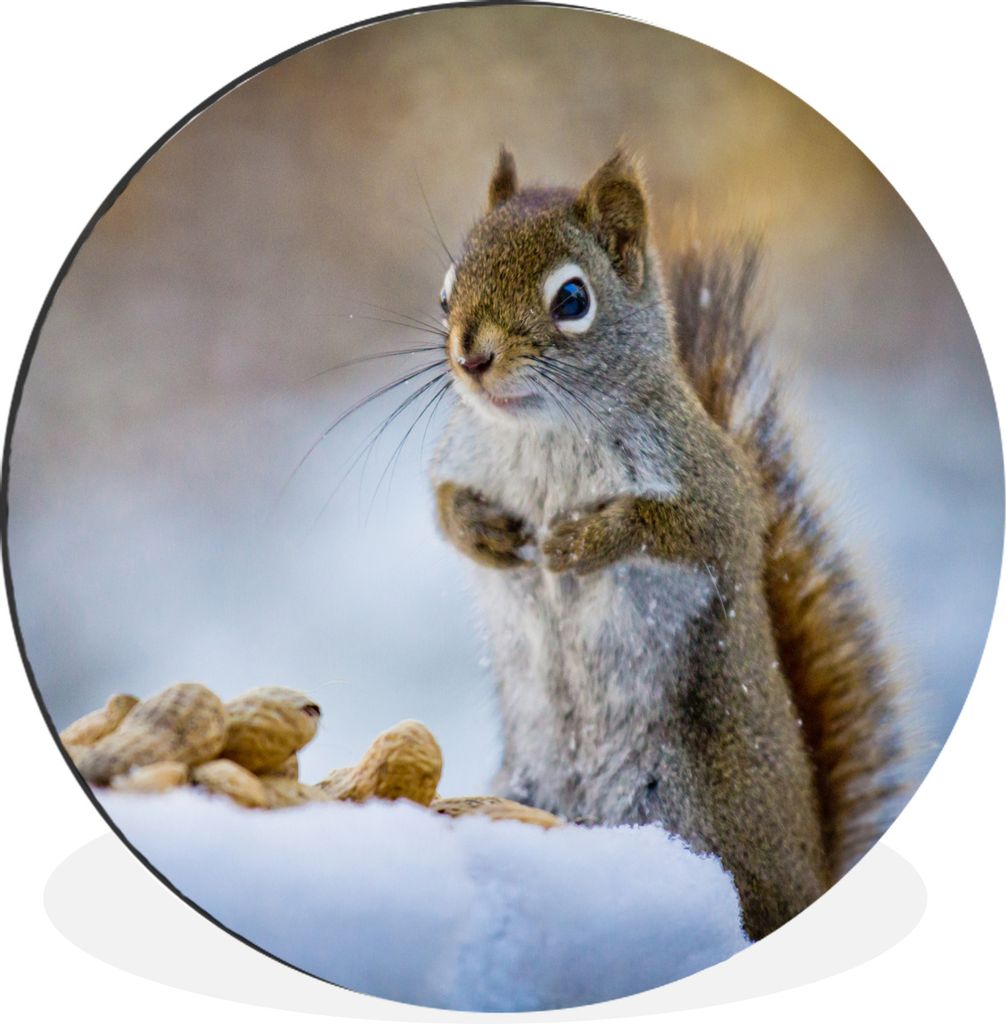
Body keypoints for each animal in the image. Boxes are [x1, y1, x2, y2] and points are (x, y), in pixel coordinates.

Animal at [428, 147, 904, 940]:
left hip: (696, 816)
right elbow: (441, 507)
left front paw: (586, 539)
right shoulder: (460, 456)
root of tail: (812, 884)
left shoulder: (713, 485)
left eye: (572, 300)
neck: (544, 433)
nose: (472, 356)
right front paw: (483, 531)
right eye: (445, 292)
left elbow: (689, 528)